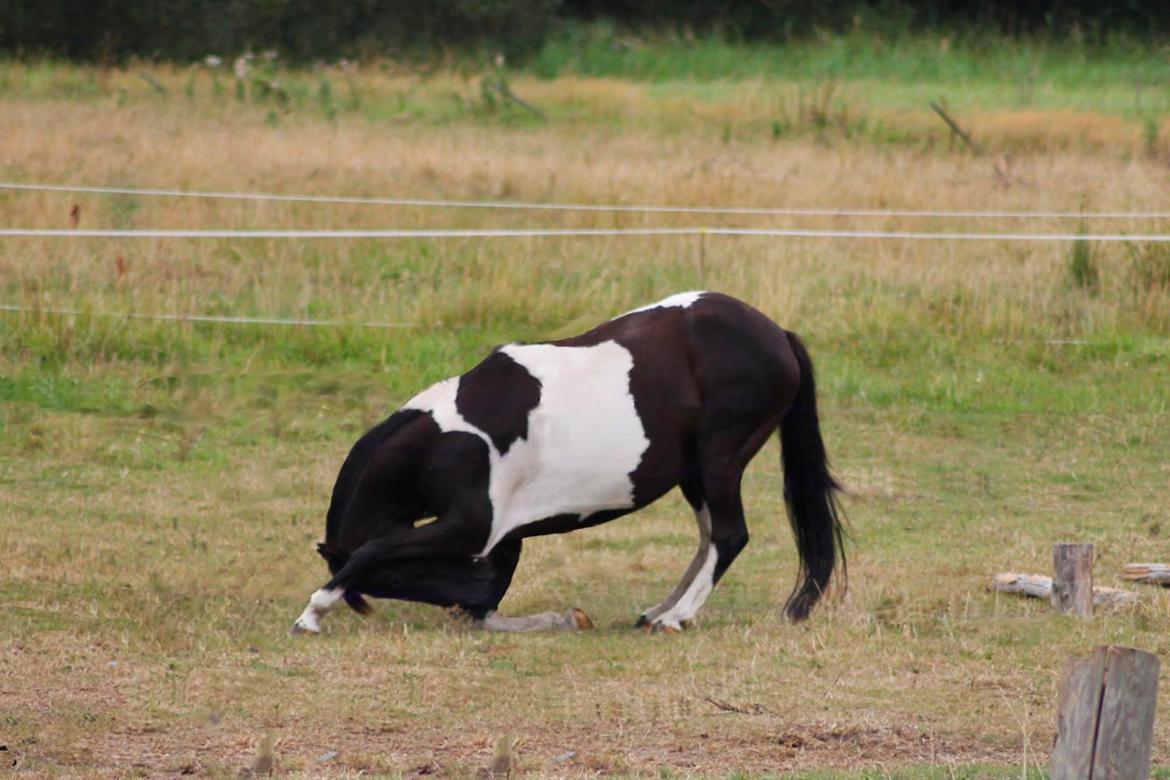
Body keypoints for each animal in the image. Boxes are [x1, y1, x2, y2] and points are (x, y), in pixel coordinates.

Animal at [291, 291, 842, 636]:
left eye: (391, 581)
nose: (471, 600)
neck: (452, 439)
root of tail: (777, 334)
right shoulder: (500, 538)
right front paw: (557, 619)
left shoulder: (475, 530)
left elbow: (372, 548)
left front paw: (313, 613)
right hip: (697, 474)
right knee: (710, 538)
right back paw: (658, 611)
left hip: (720, 459)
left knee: (729, 536)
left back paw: (675, 618)